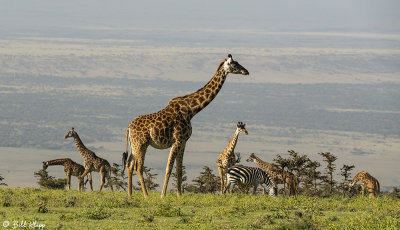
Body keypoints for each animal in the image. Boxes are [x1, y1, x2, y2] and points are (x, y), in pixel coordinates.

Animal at [122, 54, 248, 198]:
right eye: (234, 65)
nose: (246, 71)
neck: (191, 110)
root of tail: (129, 127)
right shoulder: (177, 140)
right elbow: (169, 168)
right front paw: (163, 195)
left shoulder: (183, 142)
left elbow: (179, 169)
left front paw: (179, 194)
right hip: (141, 144)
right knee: (138, 166)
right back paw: (146, 195)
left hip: (134, 145)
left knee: (129, 164)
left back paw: (130, 194)